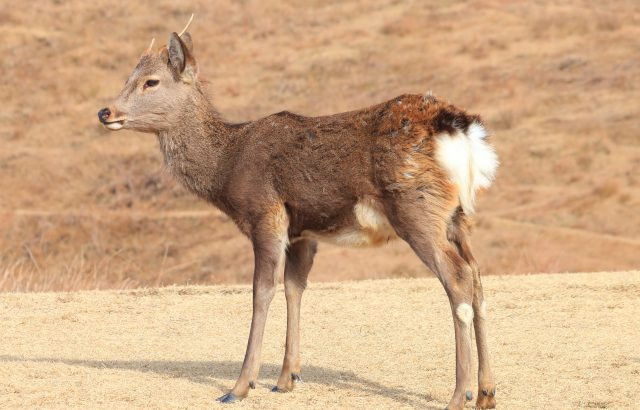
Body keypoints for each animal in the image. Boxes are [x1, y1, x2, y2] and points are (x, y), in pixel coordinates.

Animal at [99, 14, 500, 408]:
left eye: (151, 81)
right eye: (128, 76)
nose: (105, 111)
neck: (227, 167)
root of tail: (459, 129)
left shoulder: (266, 213)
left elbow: (262, 291)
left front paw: (239, 386)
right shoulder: (303, 232)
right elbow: (295, 287)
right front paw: (286, 378)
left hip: (417, 208)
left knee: (458, 278)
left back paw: (458, 395)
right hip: (456, 217)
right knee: (477, 278)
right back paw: (486, 392)